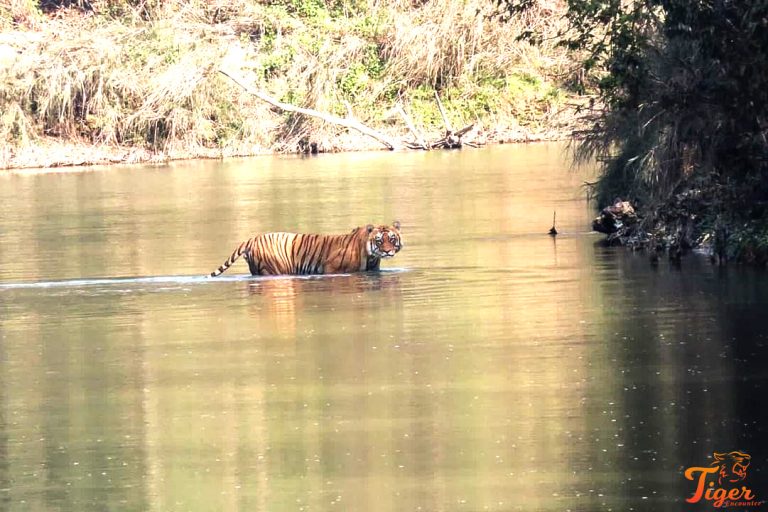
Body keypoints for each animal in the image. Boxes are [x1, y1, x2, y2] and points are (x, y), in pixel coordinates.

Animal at [209, 221, 402, 277]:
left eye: (392, 239)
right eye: (379, 240)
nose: (387, 251)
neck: (371, 256)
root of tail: (251, 239)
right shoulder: (331, 268)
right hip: (274, 269)